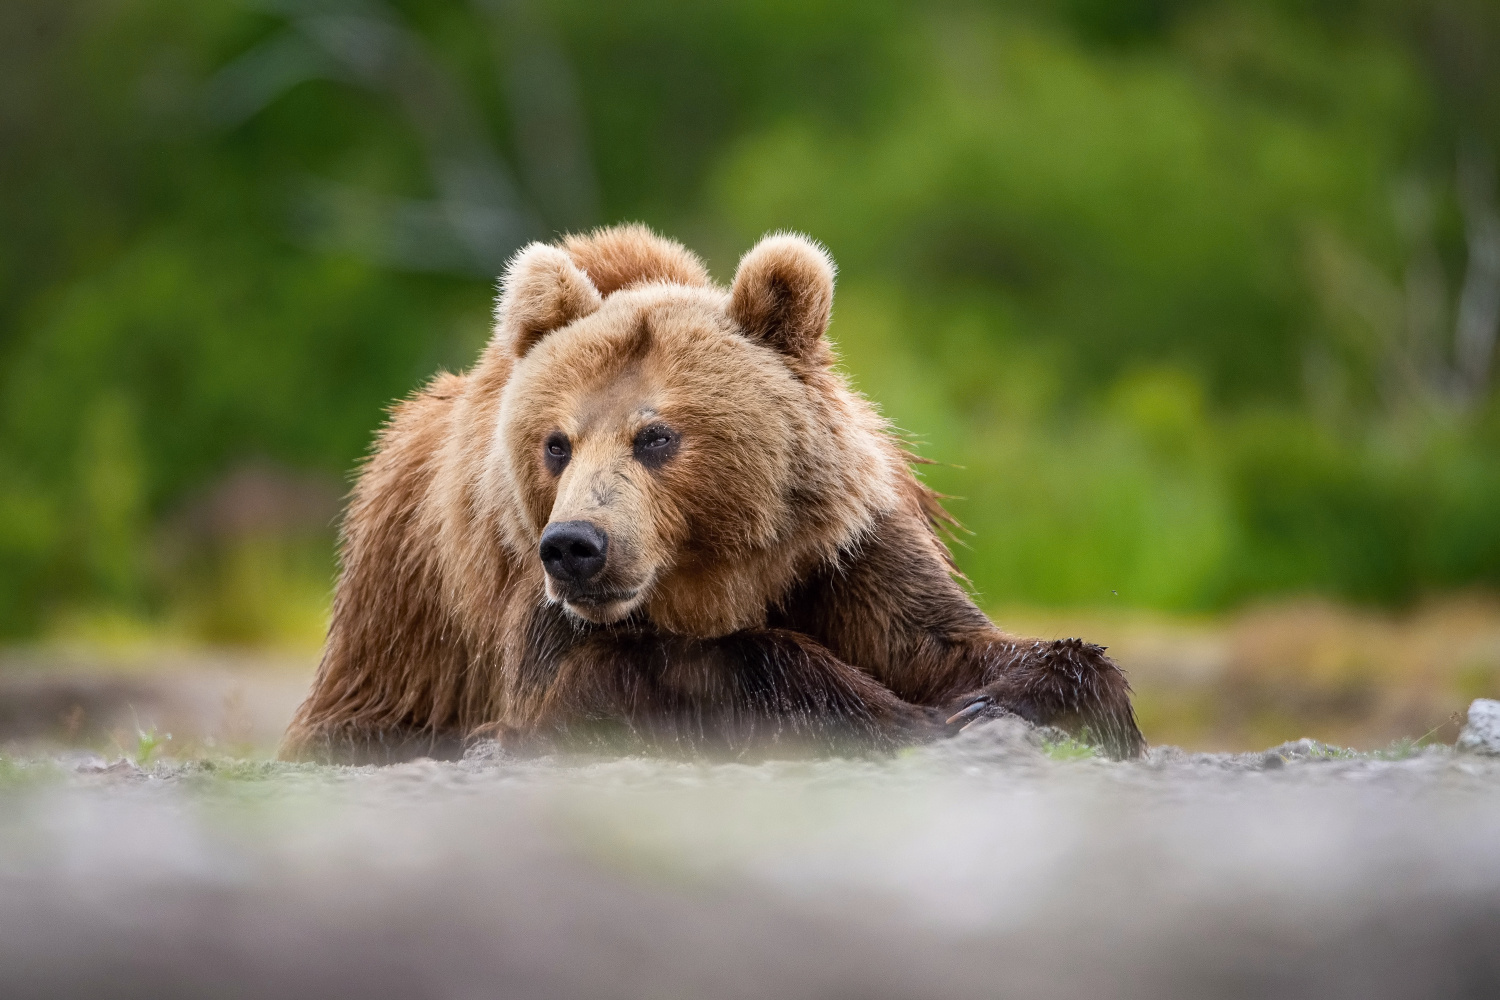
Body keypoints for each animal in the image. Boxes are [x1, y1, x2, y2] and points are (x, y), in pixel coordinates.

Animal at [283, 224, 1146, 758]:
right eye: (556, 444)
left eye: (656, 436)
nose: (576, 547)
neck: (710, 574)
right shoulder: (529, 601)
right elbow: (607, 685)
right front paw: (914, 717)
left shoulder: (838, 551)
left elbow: (943, 641)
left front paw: (1015, 698)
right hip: (394, 635)